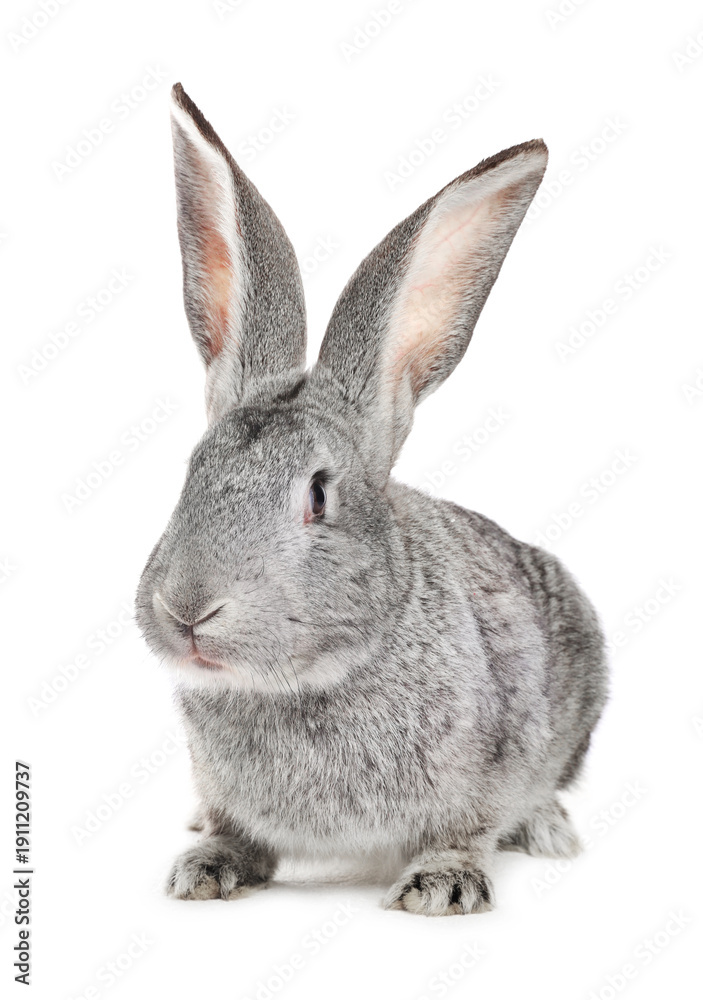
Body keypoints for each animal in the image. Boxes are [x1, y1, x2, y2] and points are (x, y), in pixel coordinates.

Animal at [135, 83, 608, 916]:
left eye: (318, 496)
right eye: (191, 471)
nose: (188, 608)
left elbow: (465, 828)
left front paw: (441, 887)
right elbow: (234, 830)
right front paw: (206, 868)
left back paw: (546, 830)